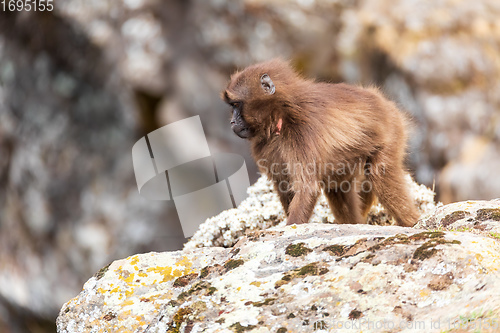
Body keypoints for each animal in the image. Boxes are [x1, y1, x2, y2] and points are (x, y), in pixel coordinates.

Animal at [222, 58, 418, 227]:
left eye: (236, 105)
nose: (232, 122)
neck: (281, 114)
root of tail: (384, 102)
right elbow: (285, 186)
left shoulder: (302, 134)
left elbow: (307, 187)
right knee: (337, 187)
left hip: (391, 131)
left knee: (379, 174)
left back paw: (412, 223)